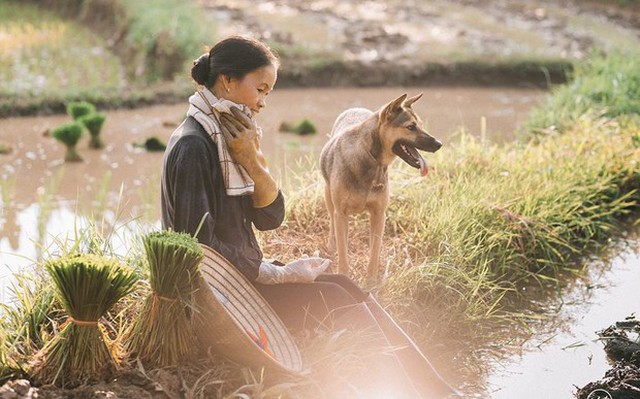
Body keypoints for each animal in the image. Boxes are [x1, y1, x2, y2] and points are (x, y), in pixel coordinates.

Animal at [320, 94, 440, 284]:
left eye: (420, 124)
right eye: (411, 127)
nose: (439, 144)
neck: (372, 158)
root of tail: (356, 108)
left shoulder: (379, 214)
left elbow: (374, 251)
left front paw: (371, 281)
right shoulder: (342, 213)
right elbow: (343, 252)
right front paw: (344, 274)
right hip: (329, 197)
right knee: (332, 221)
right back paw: (332, 245)